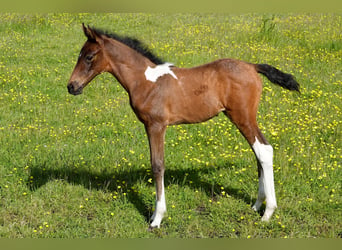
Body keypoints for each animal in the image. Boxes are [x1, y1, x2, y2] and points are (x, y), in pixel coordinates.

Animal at [67, 24, 300, 229]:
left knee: (264, 150)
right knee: (258, 152)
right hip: (243, 118)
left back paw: (268, 212)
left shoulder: (156, 125)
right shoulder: (152, 126)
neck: (145, 80)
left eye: (89, 57)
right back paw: (257, 205)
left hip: (243, 116)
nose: (71, 86)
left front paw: (156, 218)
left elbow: (157, 165)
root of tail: (252, 66)